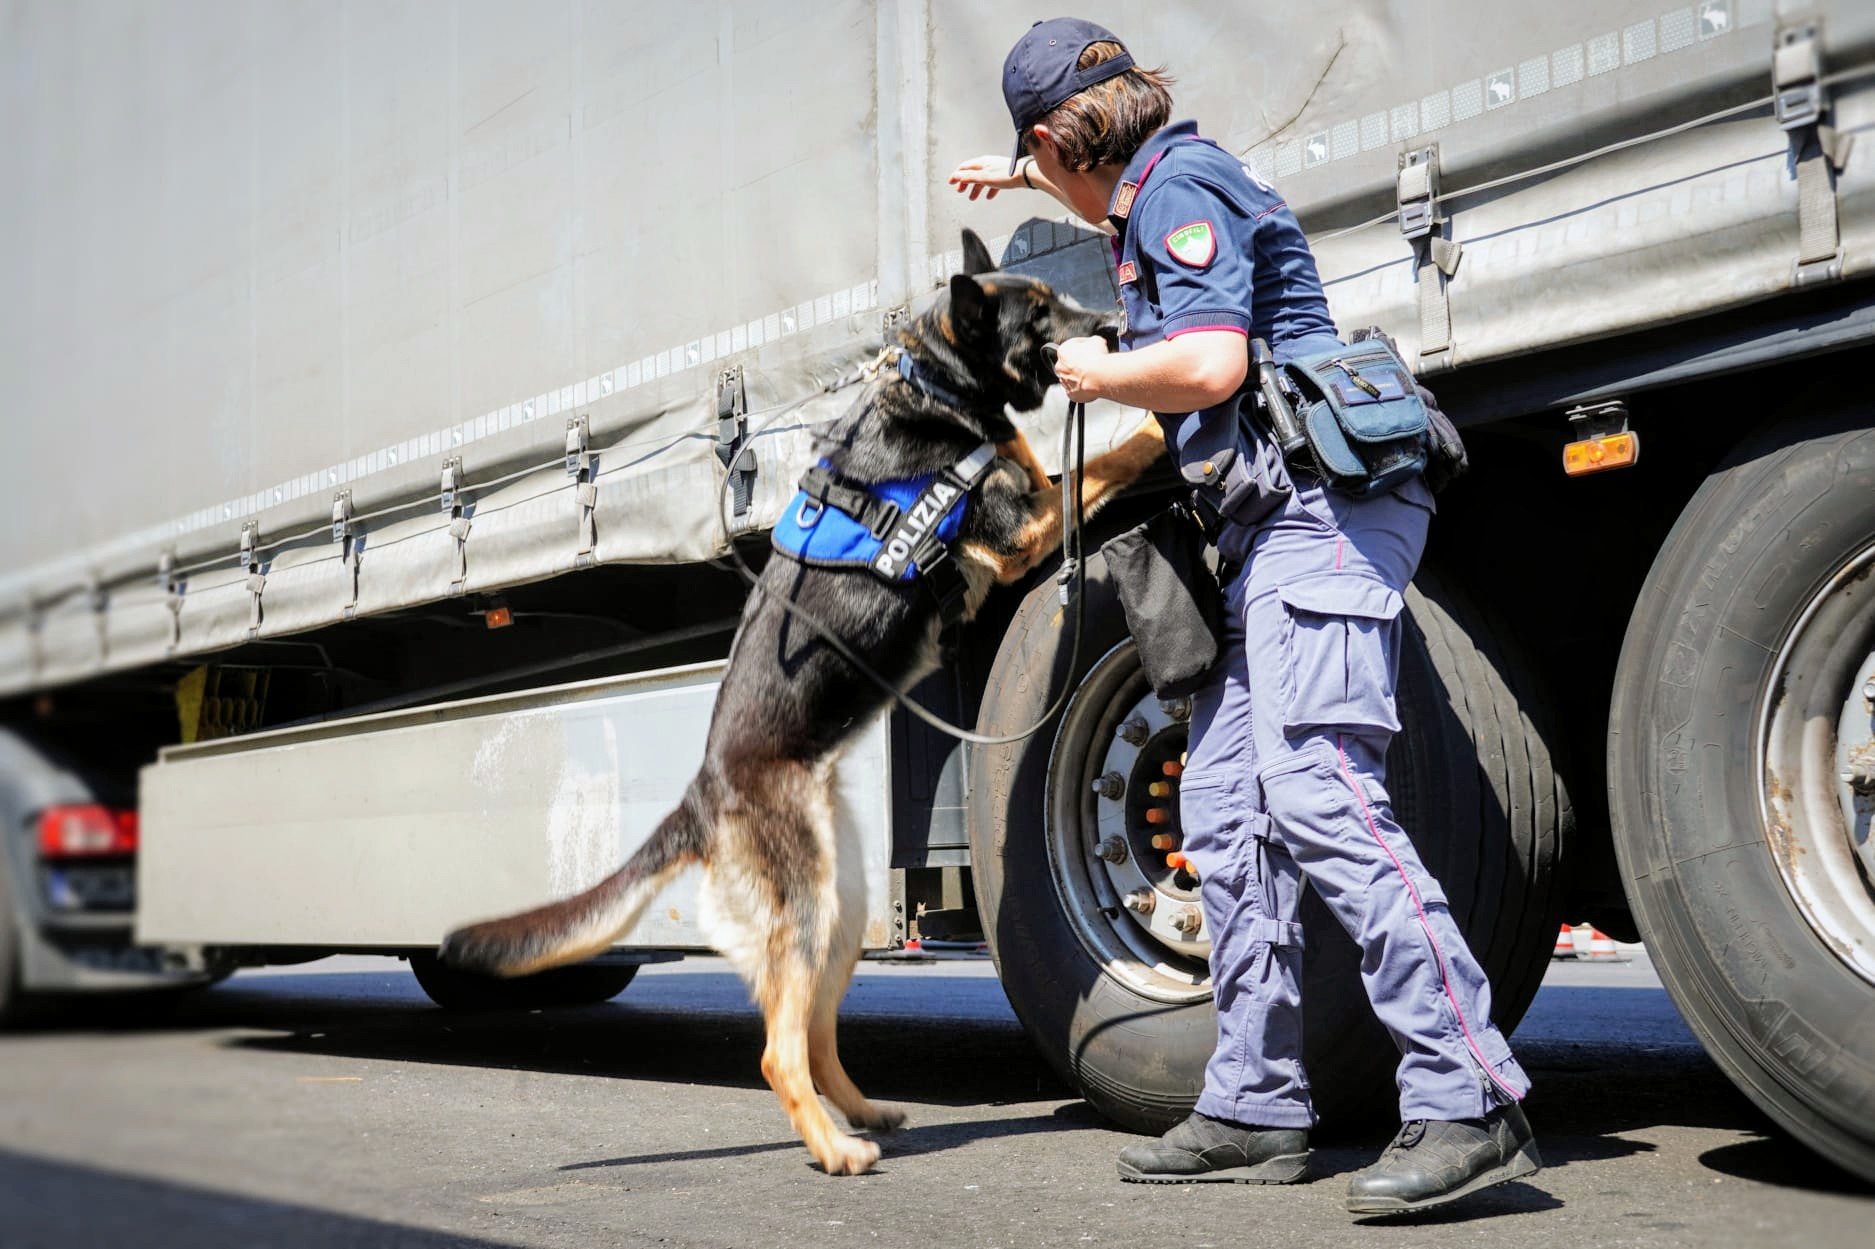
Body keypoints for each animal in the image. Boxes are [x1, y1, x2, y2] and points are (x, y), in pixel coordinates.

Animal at [444, 230, 1162, 1170]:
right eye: (1040, 313)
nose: (1115, 323)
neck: (933, 387)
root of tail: (702, 794)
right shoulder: (1024, 527)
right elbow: (1110, 458)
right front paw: (1163, 418)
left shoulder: (1032, 488)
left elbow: (1060, 459)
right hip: (809, 908)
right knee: (778, 1050)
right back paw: (832, 1147)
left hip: (842, 907)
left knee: (816, 1035)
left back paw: (862, 1114)